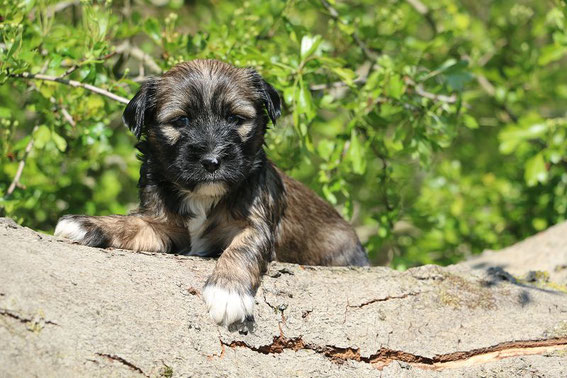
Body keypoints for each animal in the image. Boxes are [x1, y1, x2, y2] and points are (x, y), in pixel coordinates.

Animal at [55, 59, 368, 328]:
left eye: (235, 118)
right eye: (181, 121)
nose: (212, 160)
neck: (203, 197)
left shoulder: (255, 225)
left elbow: (241, 250)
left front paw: (227, 293)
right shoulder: (163, 225)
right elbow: (132, 224)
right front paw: (86, 224)